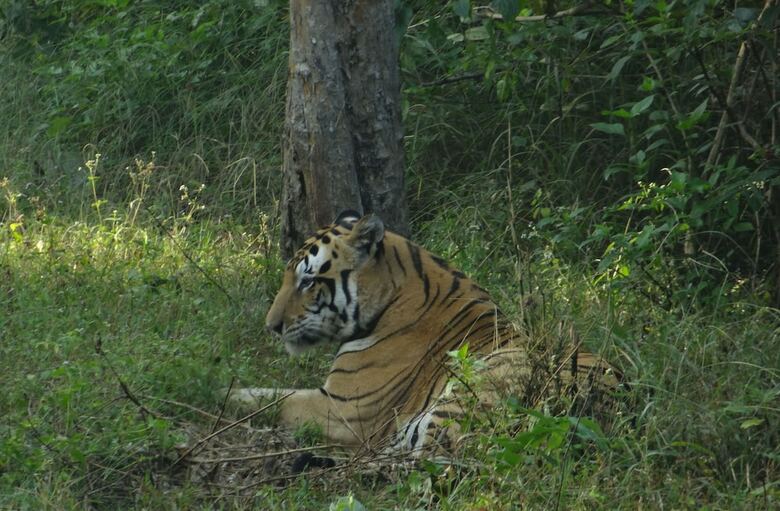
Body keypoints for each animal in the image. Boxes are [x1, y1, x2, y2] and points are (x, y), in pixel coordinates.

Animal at [229, 211, 622, 456]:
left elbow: (264, 399)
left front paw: (214, 392)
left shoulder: (344, 410)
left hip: (474, 388)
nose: (271, 326)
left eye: (308, 281)